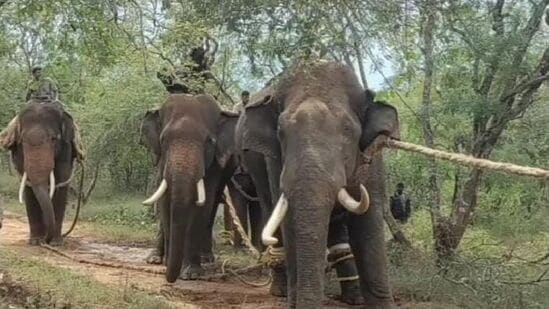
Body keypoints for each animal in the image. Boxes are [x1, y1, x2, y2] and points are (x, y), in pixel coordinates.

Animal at [7, 101, 79, 245]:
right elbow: (28, 185)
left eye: (53, 139)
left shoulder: (66, 149)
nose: (46, 241)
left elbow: (61, 182)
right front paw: (35, 242)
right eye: (22, 141)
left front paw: (56, 243)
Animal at [139, 92, 238, 282]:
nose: (170, 277)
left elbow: (204, 204)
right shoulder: (162, 160)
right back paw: (154, 259)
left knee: (212, 205)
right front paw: (167, 265)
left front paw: (192, 274)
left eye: (209, 141)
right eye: (163, 139)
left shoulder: (215, 163)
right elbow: (164, 201)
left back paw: (206, 258)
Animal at [235, 60, 398, 308]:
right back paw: (280, 292)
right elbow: (289, 221)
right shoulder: (275, 161)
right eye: (281, 132)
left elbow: (369, 219)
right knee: (270, 210)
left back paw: (353, 298)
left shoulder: (372, 156)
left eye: (348, 130)